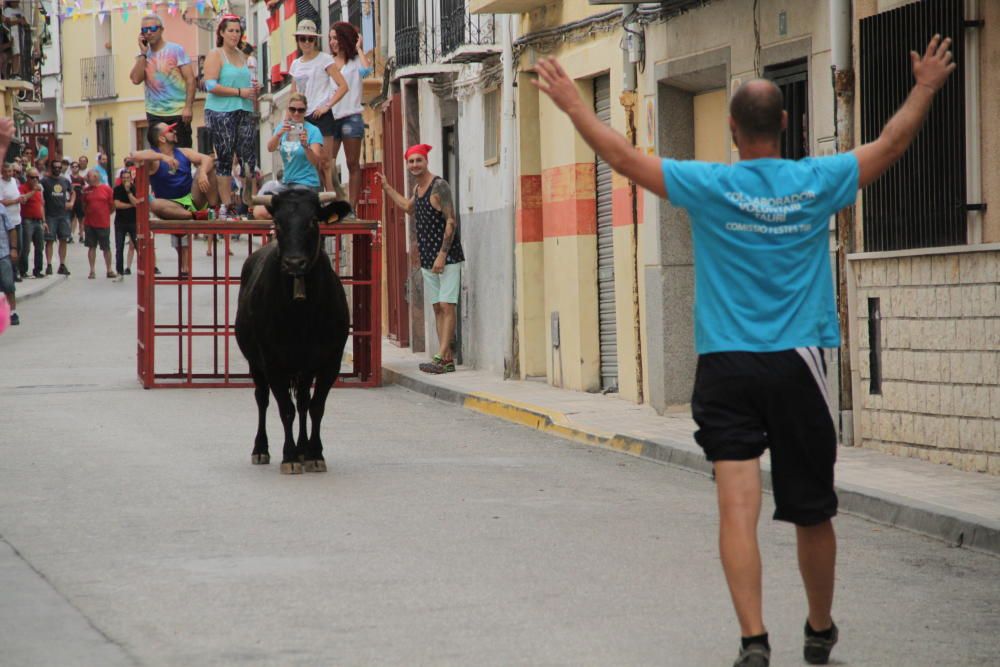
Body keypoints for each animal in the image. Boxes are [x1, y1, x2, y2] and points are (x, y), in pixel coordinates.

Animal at [236, 185, 354, 472]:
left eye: (312, 221)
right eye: (278, 222)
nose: (294, 263)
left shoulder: (329, 361)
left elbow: (315, 407)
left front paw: (314, 453)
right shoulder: (273, 361)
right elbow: (285, 409)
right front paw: (289, 456)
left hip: (303, 368)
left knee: (302, 402)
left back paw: (303, 450)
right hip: (256, 364)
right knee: (263, 398)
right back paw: (261, 449)